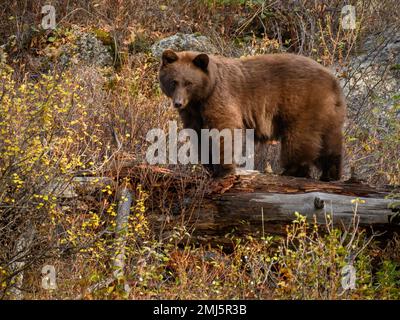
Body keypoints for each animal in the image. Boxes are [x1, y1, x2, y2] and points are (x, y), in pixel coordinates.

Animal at [158, 49, 346, 181]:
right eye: (173, 82)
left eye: (189, 83)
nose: (178, 103)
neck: (204, 95)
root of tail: (333, 80)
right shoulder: (193, 112)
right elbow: (199, 134)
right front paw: (209, 167)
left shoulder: (220, 98)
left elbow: (223, 130)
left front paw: (224, 170)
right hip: (329, 111)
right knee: (331, 140)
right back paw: (330, 174)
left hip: (302, 103)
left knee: (299, 137)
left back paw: (291, 170)